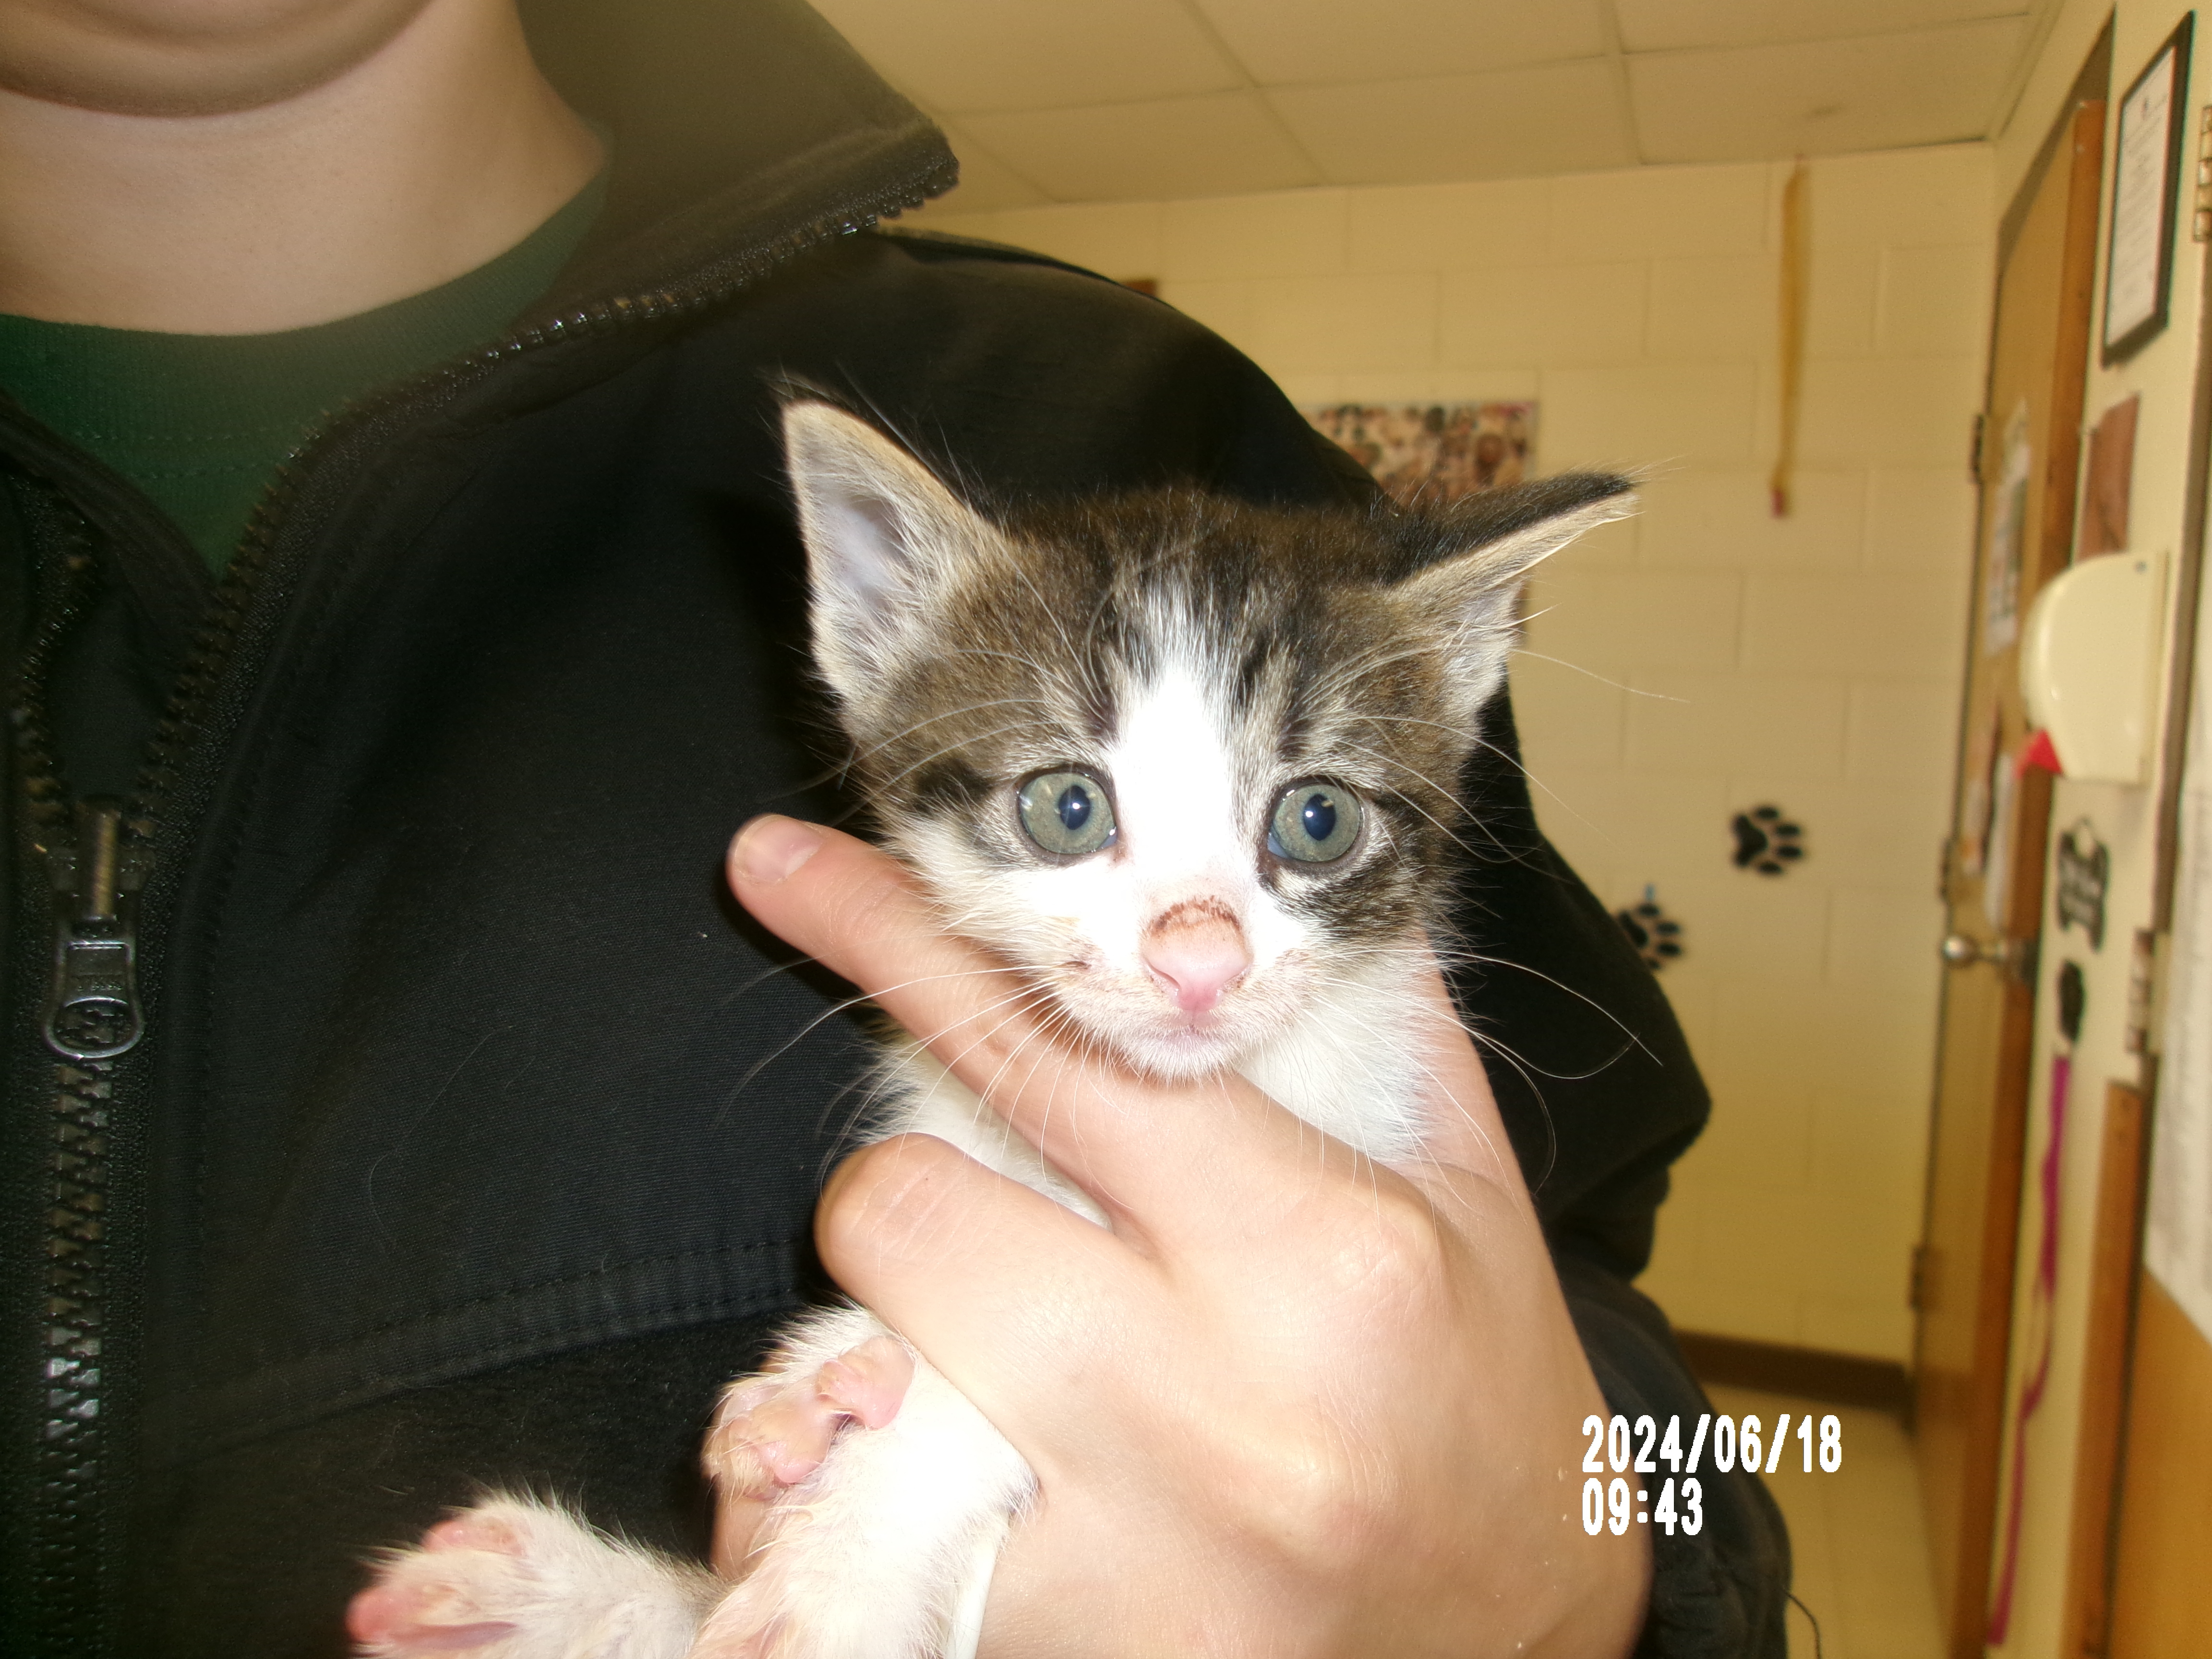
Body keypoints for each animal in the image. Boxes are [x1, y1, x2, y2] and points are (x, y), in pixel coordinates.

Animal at [345, 402, 1628, 1659]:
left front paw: (840, 1569)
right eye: (1067, 807)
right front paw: (829, 1366)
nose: (1199, 959)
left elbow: (1002, 1394)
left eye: (1317, 819)